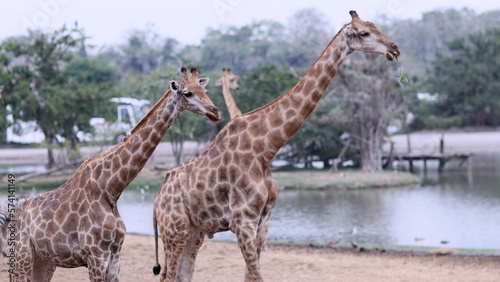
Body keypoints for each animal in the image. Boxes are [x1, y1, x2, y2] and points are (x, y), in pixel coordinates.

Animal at [9, 66, 221, 282]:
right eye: (187, 93)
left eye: (205, 91)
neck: (111, 189)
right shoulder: (95, 255)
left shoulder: (115, 256)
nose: (215, 112)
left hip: (44, 261)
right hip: (22, 256)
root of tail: (15, 213)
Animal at [151, 9, 398, 280]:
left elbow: (250, 274)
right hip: (175, 230)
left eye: (375, 26)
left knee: (180, 274)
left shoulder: (264, 219)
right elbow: (256, 274)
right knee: (168, 275)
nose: (394, 49)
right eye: (364, 33)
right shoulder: (243, 221)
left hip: (194, 230)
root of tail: (156, 199)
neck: (266, 149)